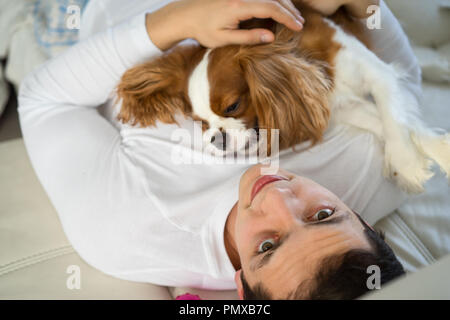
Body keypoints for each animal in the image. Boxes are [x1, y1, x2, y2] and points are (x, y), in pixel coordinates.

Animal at [117, 2, 450, 192]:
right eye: (201, 123)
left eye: (233, 105)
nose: (217, 140)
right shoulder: (339, 105)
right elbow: (393, 123)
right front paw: (433, 151)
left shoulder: (377, 73)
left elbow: (395, 118)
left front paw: (407, 163)